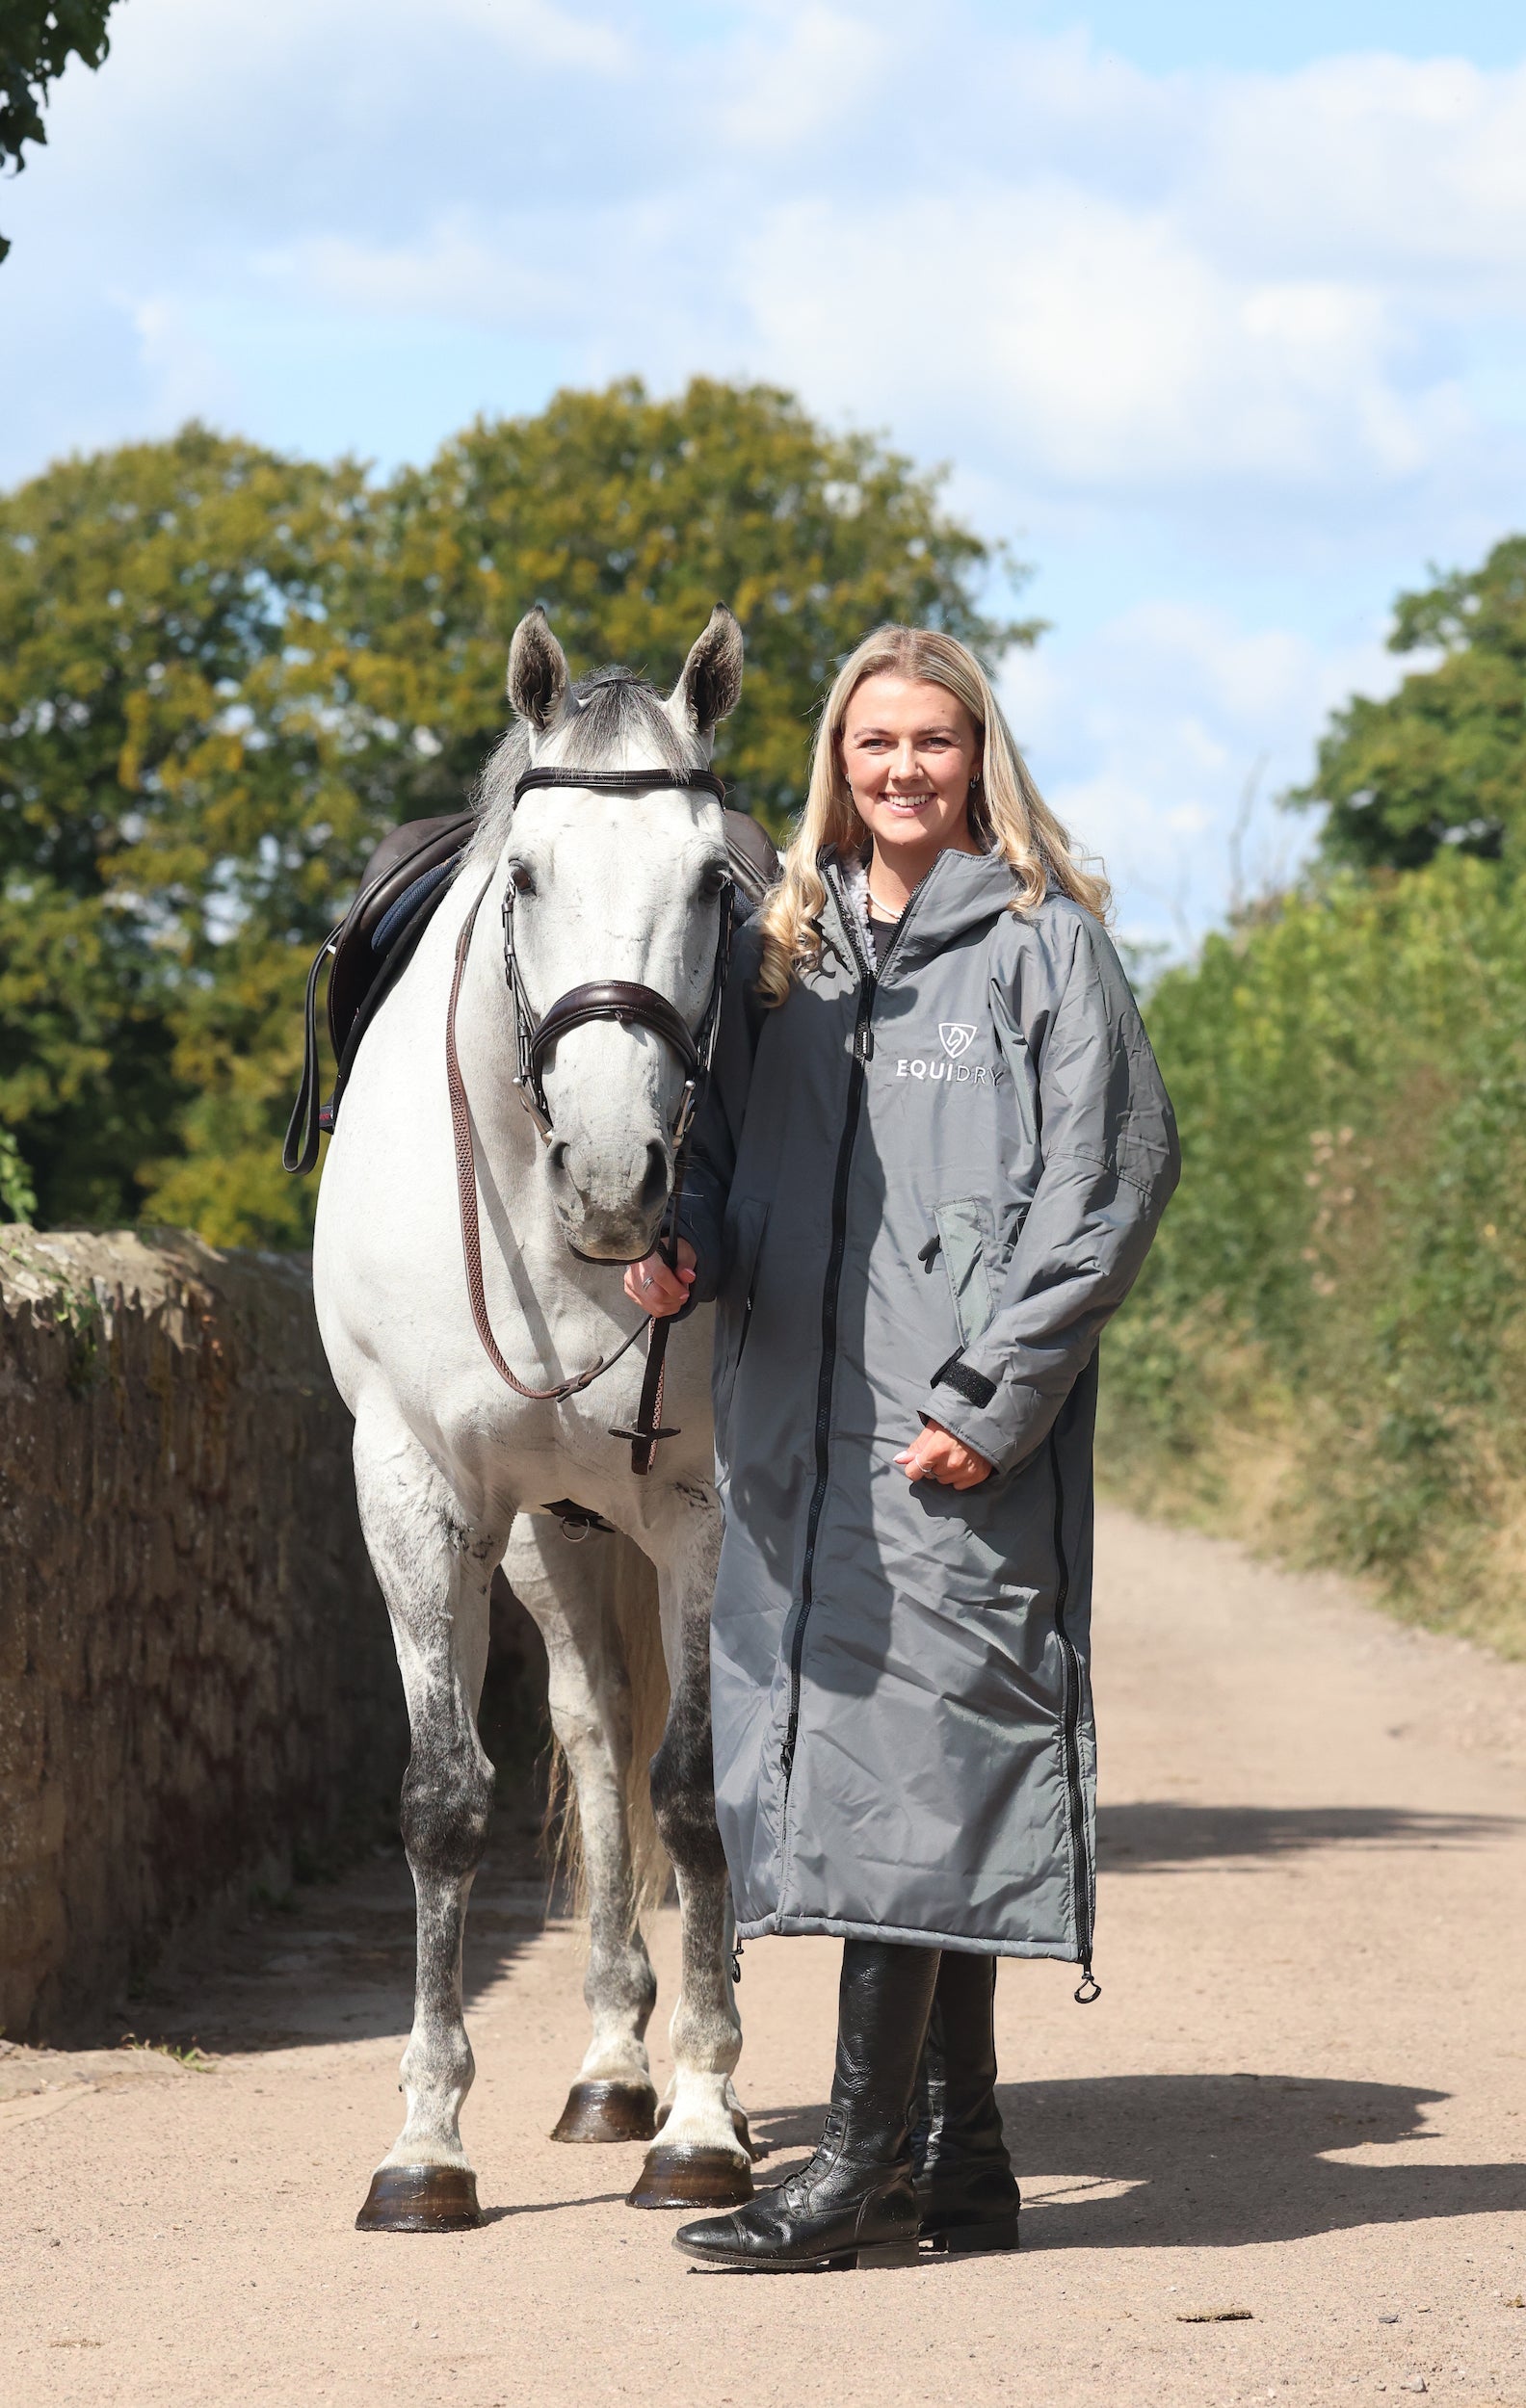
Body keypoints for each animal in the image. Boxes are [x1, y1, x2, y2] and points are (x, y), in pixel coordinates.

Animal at [312, 604, 756, 2230]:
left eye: (713, 884)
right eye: (524, 876)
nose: (618, 1175)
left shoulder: (708, 1509)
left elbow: (697, 1795)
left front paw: (706, 2122)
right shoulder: (419, 1493)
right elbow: (449, 1801)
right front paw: (425, 2142)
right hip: (549, 1537)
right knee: (593, 1724)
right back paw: (610, 2066)